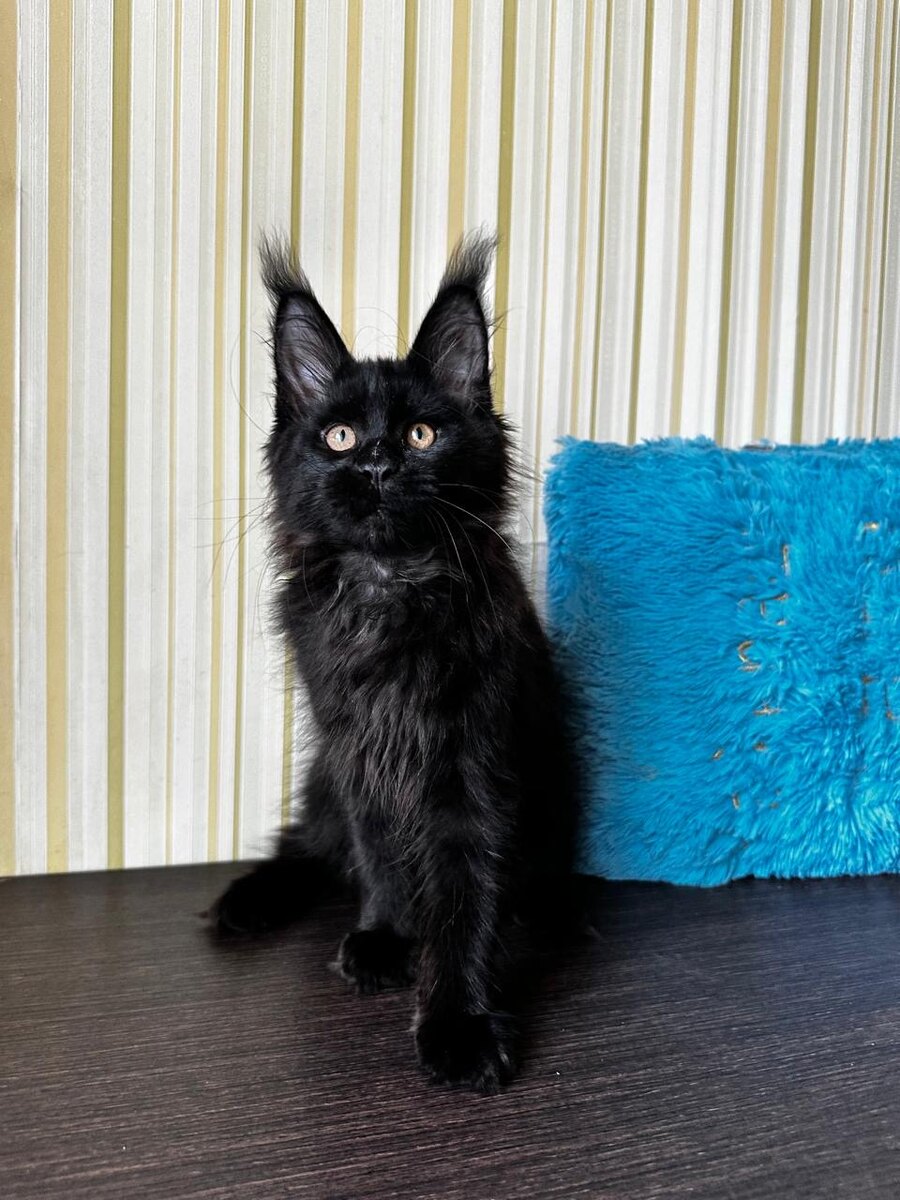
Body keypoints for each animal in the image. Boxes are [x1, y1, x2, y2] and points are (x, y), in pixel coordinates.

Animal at [211, 232, 574, 1094]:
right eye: (339, 437)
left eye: (420, 437)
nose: (377, 465)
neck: (390, 588)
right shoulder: (357, 749)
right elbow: (378, 852)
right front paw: (385, 936)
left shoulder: (472, 761)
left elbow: (466, 893)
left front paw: (457, 1022)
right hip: (320, 776)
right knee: (309, 845)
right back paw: (246, 903)